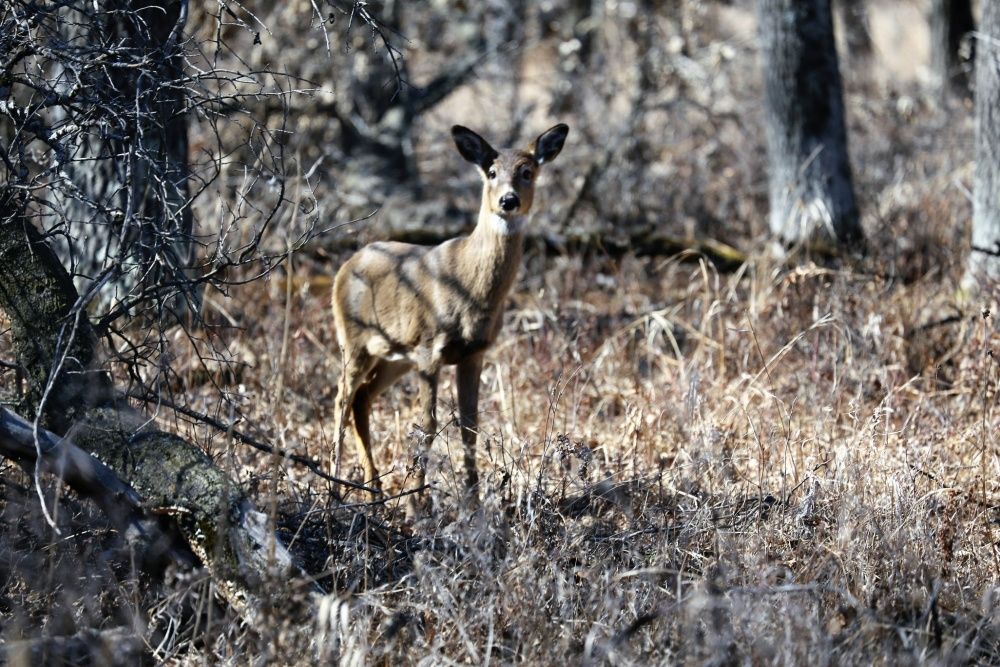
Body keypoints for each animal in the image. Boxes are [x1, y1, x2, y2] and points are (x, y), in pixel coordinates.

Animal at [332, 124, 568, 500]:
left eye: (528, 172)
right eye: (491, 172)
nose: (508, 201)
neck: (469, 285)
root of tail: (345, 267)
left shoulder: (473, 353)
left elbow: (470, 427)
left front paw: (473, 500)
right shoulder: (430, 349)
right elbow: (426, 425)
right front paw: (418, 501)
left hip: (394, 356)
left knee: (362, 398)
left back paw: (375, 491)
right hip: (353, 340)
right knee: (342, 398)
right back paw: (336, 485)